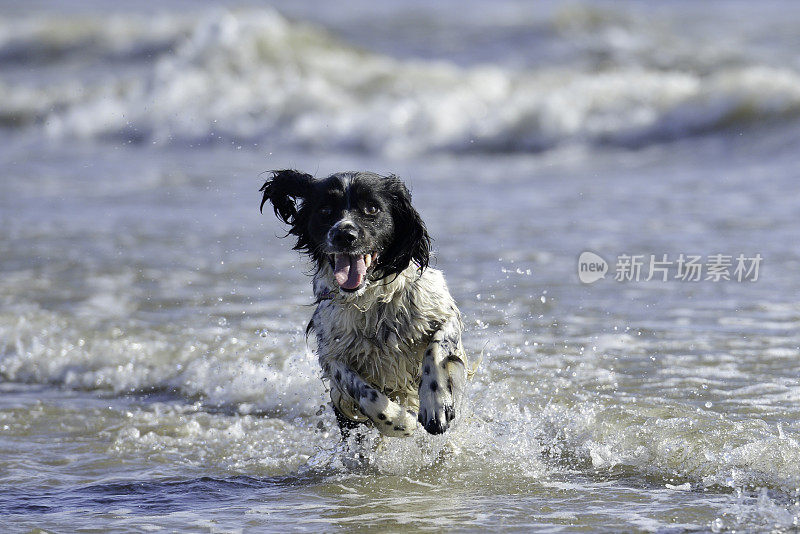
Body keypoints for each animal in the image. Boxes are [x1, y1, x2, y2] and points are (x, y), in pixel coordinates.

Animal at [260, 172, 468, 440]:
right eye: (325, 210)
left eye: (371, 208)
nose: (343, 235)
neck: (370, 298)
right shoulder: (332, 354)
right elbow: (361, 390)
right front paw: (399, 421)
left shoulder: (442, 313)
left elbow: (436, 347)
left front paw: (435, 405)